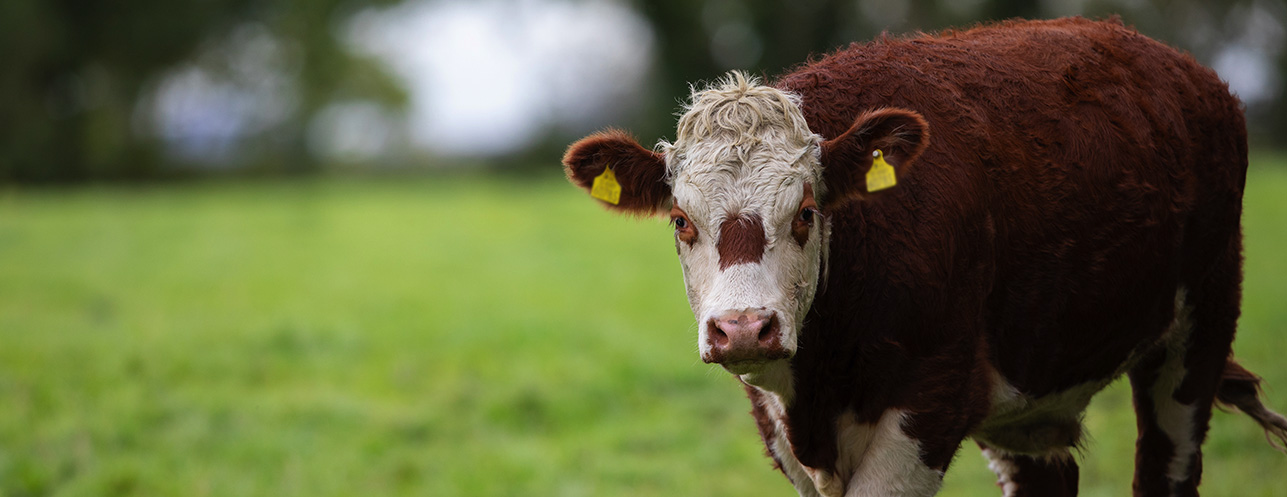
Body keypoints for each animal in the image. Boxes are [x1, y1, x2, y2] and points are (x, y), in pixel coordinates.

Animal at [558, 16, 1281, 497]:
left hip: (1198, 329)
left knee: (1168, 465)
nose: (742, 329)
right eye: (681, 220)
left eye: (806, 212)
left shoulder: (929, 402)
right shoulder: (781, 430)